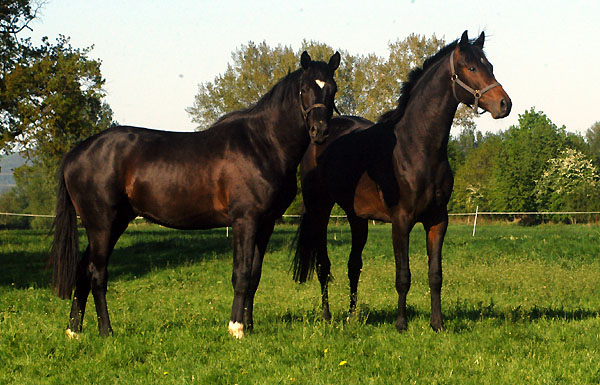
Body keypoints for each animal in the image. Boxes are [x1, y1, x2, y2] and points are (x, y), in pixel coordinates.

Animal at [50, 50, 342, 336]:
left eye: (332, 88)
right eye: (304, 89)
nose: (320, 131)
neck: (262, 144)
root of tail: (76, 154)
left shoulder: (266, 224)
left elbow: (255, 276)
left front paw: (249, 325)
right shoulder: (245, 221)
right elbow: (241, 274)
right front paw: (236, 328)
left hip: (113, 223)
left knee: (83, 270)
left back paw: (74, 330)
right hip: (102, 224)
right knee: (97, 273)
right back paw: (106, 331)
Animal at [294, 30, 510, 330]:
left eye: (489, 66)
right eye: (471, 68)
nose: (504, 104)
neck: (417, 147)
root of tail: (319, 134)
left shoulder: (437, 221)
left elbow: (435, 275)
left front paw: (437, 323)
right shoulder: (401, 221)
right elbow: (403, 275)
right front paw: (401, 324)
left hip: (357, 218)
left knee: (353, 265)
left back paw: (352, 316)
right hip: (320, 210)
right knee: (323, 265)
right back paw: (327, 316)